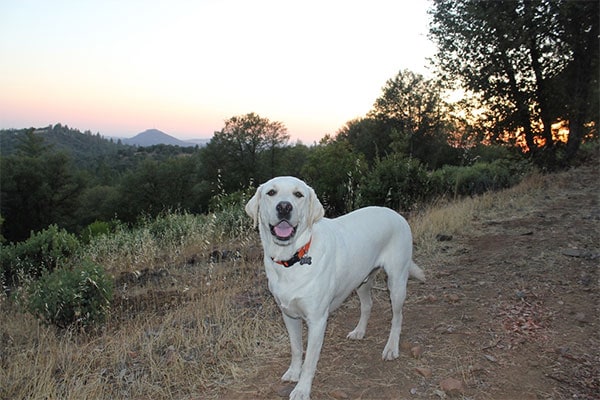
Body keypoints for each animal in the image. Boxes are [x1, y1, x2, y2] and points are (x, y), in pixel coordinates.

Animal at [245, 177, 426, 398]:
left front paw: (302, 389)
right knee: (367, 305)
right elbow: (296, 349)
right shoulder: (289, 315)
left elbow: (309, 361)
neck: (293, 258)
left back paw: (391, 347)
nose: (284, 207)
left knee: (397, 317)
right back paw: (359, 331)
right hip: (362, 280)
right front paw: (293, 372)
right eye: (271, 192)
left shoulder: (317, 321)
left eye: (298, 194)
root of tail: (397, 214)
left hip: (396, 282)